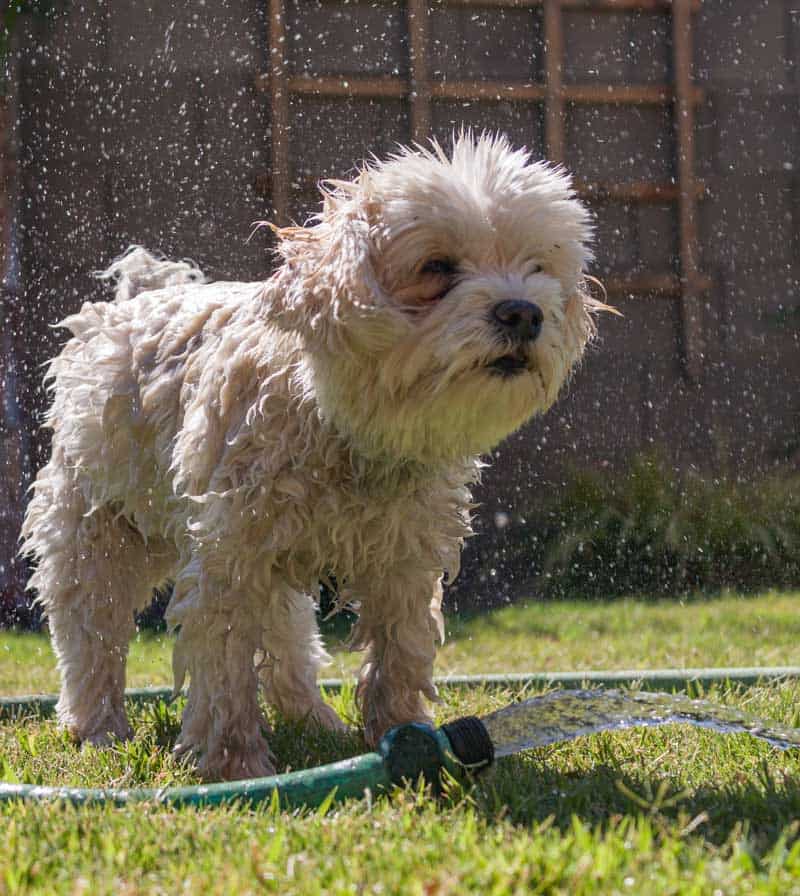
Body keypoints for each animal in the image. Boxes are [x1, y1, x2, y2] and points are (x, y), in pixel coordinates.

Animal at [20, 131, 600, 776]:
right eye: (437, 267)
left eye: (538, 267)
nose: (524, 312)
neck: (344, 427)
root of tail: (135, 302)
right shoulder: (229, 559)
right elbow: (224, 668)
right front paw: (234, 765)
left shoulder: (404, 557)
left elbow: (400, 651)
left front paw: (404, 735)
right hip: (95, 532)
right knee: (89, 634)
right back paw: (98, 728)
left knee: (288, 638)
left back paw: (313, 719)